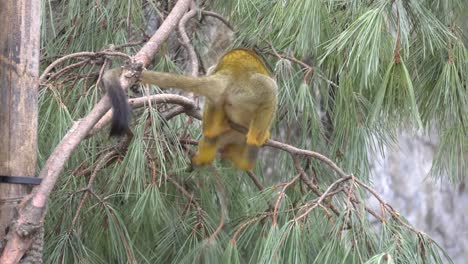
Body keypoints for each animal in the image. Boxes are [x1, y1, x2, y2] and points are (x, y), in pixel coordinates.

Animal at [103, 48, 278, 170]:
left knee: (214, 117)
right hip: (251, 90)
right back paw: (255, 139)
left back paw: (212, 137)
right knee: (270, 91)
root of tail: (232, 73)